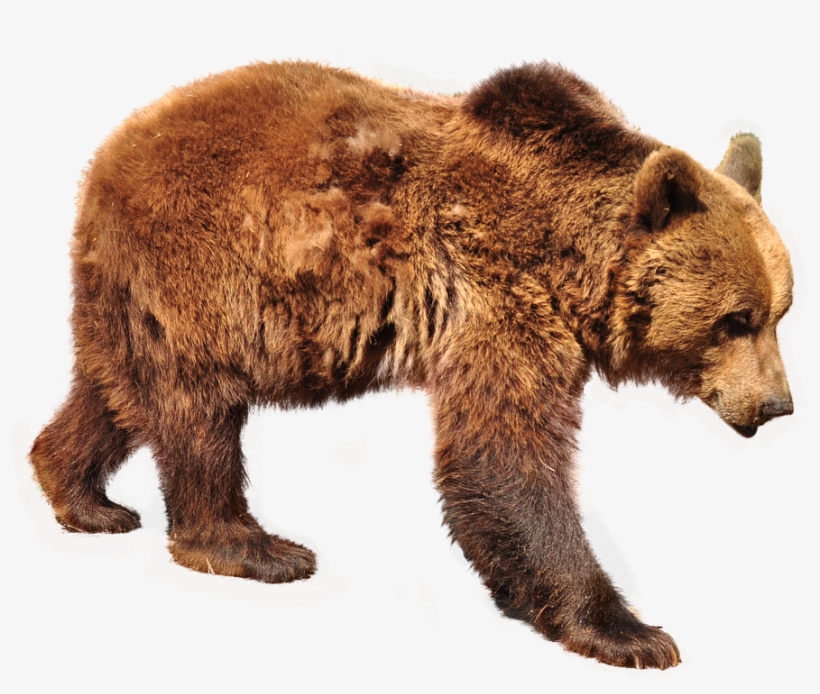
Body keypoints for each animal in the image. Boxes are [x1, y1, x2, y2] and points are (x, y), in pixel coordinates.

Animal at [29, 61, 793, 669]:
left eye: (782, 311)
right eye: (737, 319)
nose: (778, 404)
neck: (565, 254)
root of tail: (112, 149)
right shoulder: (495, 293)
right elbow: (504, 456)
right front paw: (629, 633)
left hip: (131, 293)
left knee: (116, 392)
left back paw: (82, 496)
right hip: (204, 266)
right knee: (200, 411)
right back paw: (255, 548)